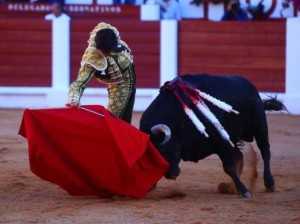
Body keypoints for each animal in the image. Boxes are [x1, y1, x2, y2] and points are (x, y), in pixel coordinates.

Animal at [138, 74, 284, 198]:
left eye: (163, 149)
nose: (171, 174)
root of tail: (249, 85)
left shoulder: (222, 143)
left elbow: (229, 168)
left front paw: (244, 191)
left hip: (260, 127)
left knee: (265, 152)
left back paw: (269, 183)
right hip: (235, 138)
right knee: (240, 156)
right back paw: (232, 187)